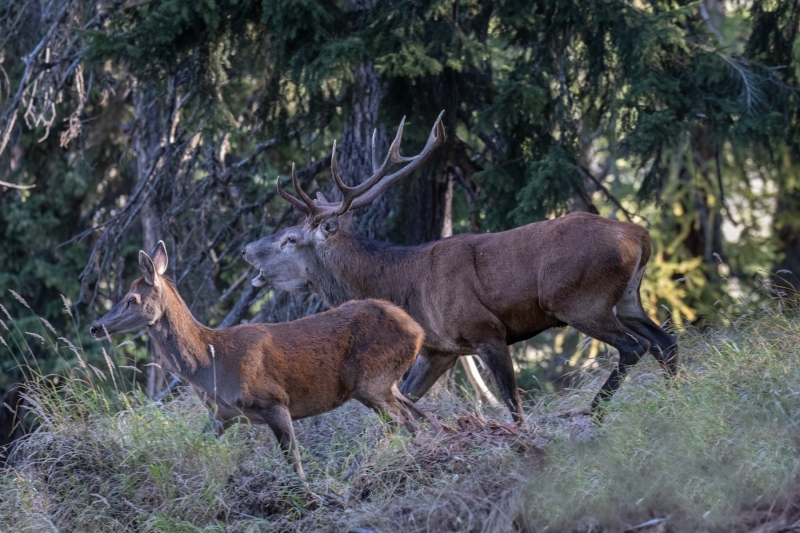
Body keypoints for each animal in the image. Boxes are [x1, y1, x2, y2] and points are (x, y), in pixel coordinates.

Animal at [90, 241, 428, 478]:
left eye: (132, 299)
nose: (96, 327)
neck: (211, 365)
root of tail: (417, 330)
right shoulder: (222, 415)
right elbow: (197, 444)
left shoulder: (273, 400)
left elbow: (295, 463)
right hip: (387, 383)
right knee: (422, 417)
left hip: (371, 380)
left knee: (404, 422)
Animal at [242, 112, 679, 425]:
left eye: (290, 239)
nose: (247, 250)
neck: (404, 286)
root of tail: (640, 235)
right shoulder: (441, 348)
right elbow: (405, 401)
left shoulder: (485, 330)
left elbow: (513, 404)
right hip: (626, 298)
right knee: (665, 342)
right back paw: (677, 395)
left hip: (579, 300)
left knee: (636, 346)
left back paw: (597, 410)